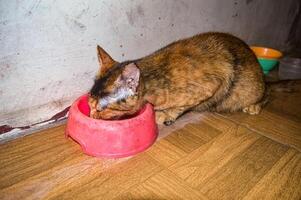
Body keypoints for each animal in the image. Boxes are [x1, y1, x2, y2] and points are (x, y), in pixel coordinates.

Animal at [87, 32, 264, 125]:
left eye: (100, 109)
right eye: (89, 104)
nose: (91, 116)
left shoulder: (211, 85)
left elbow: (180, 107)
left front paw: (165, 115)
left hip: (251, 89)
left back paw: (254, 106)